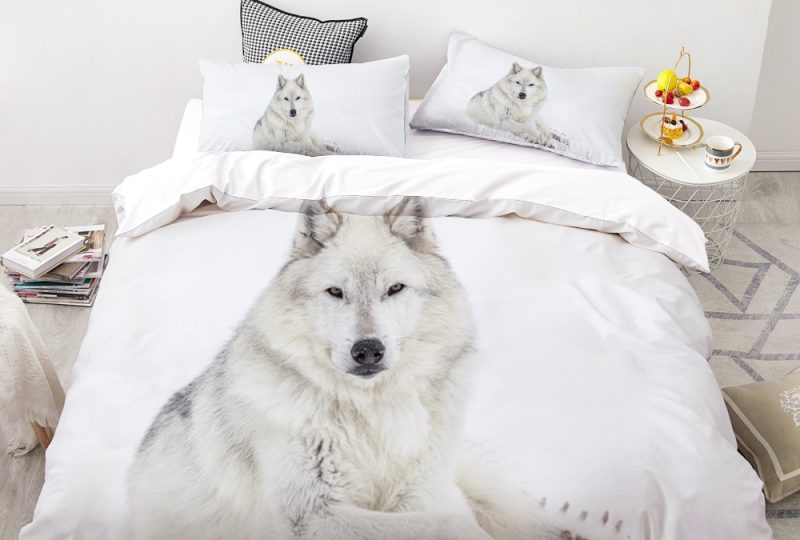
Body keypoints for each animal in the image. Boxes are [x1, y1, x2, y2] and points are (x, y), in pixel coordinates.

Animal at [127, 198, 567, 540]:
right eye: (336, 292)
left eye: (395, 289)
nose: (367, 350)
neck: (374, 417)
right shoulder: (310, 517)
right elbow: (448, 525)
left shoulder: (421, 492)